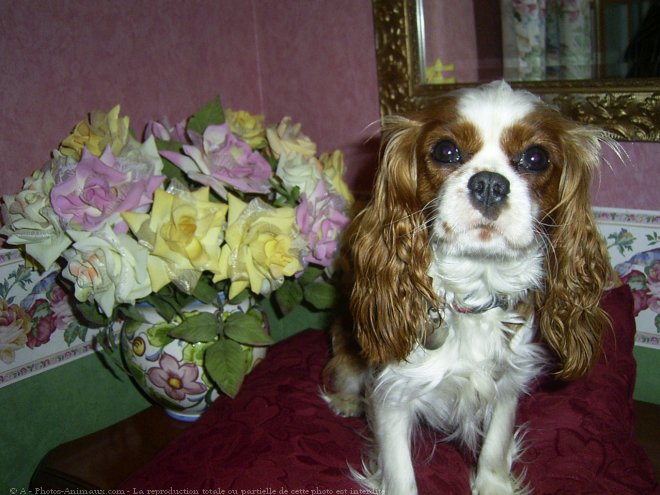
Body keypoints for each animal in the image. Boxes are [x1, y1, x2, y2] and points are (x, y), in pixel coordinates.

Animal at [322, 81, 612, 495]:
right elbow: (400, 472)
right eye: (446, 151)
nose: (489, 183)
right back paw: (346, 400)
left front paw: (493, 483)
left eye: (536, 158)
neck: (474, 289)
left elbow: (496, 442)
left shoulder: (509, 376)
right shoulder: (392, 390)